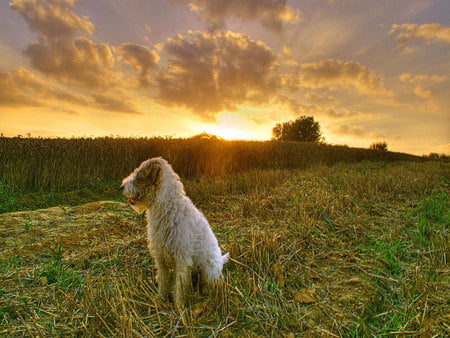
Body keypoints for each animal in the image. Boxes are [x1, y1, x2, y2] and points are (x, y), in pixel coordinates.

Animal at [120, 157, 229, 304]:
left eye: (139, 176)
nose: (121, 187)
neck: (167, 206)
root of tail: (220, 261)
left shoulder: (182, 259)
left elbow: (180, 287)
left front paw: (179, 307)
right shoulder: (160, 257)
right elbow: (163, 280)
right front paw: (160, 299)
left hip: (209, 270)